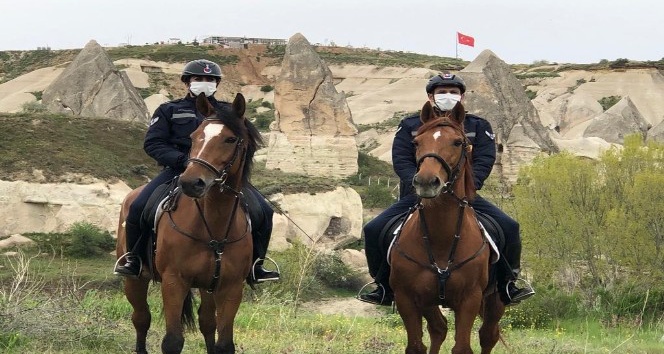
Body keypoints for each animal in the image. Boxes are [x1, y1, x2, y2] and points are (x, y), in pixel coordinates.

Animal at [114, 92, 260, 352]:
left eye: (231, 139)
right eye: (194, 136)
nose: (191, 182)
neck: (214, 226)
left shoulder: (231, 287)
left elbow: (224, 342)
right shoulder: (174, 282)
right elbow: (172, 341)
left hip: (207, 285)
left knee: (207, 322)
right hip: (135, 279)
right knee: (141, 318)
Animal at [390, 100, 504, 354]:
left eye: (458, 142)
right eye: (416, 142)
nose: (426, 181)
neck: (441, 239)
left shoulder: (470, 298)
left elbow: (462, 347)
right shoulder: (406, 298)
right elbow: (416, 346)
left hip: (495, 300)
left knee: (488, 335)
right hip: (429, 302)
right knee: (439, 328)